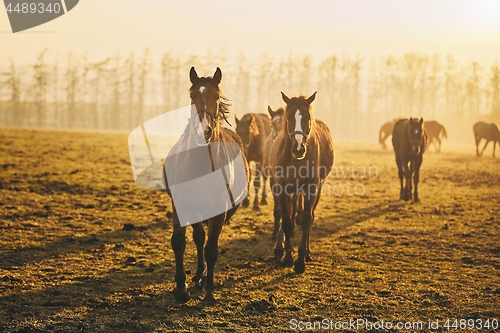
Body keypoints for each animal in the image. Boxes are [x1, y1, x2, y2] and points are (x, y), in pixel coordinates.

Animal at [165, 66, 249, 302]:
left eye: (216, 97)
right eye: (192, 96)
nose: (204, 131)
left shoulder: (218, 212)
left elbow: (211, 249)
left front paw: (209, 291)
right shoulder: (181, 205)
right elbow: (179, 241)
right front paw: (181, 287)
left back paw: (203, 279)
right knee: (199, 238)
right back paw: (198, 275)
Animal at [268, 91, 334, 272]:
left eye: (307, 118)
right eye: (289, 117)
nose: (299, 149)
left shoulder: (311, 188)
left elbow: (306, 220)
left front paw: (300, 261)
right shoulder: (282, 188)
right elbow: (287, 221)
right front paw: (288, 256)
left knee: (310, 216)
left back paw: (307, 252)